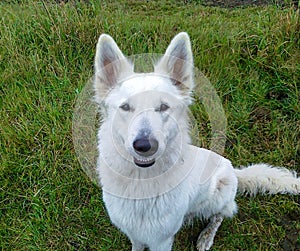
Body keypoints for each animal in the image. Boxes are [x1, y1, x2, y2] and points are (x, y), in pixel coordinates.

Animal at [92, 32, 298, 250]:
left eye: (163, 107)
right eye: (126, 107)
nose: (144, 146)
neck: (141, 182)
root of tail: (234, 171)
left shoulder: (161, 240)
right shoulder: (134, 233)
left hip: (219, 195)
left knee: (220, 215)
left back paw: (206, 236)